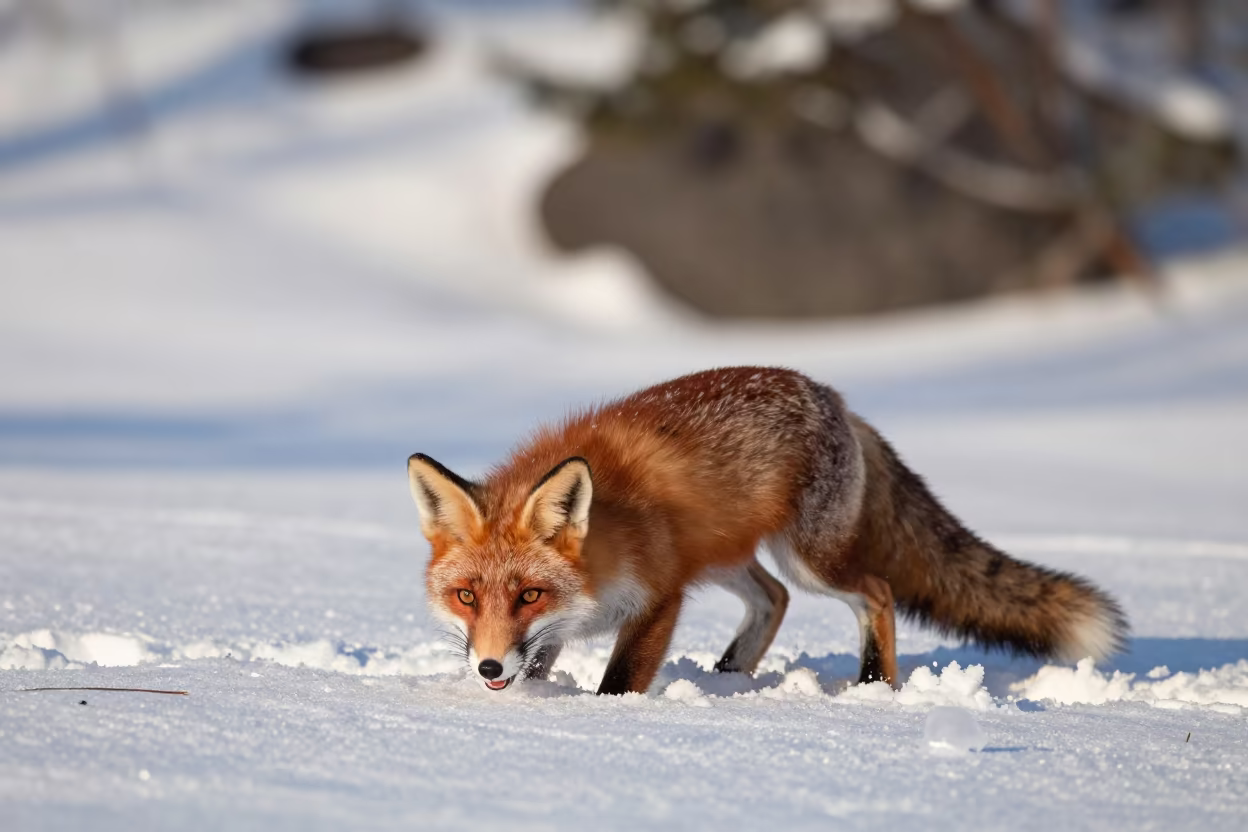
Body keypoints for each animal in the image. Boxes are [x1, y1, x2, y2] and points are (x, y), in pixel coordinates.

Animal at [408, 366, 1128, 695]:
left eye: (529, 594)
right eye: (467, 596)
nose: (489, 664)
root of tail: (837, 399)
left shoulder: (660, 597)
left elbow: (621, 679)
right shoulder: (559, 632)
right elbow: (538, 664)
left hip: (809, 558)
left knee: (877, 592)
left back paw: (874, 685)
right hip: (728, 554)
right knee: (773, 599)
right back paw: (732, 677)